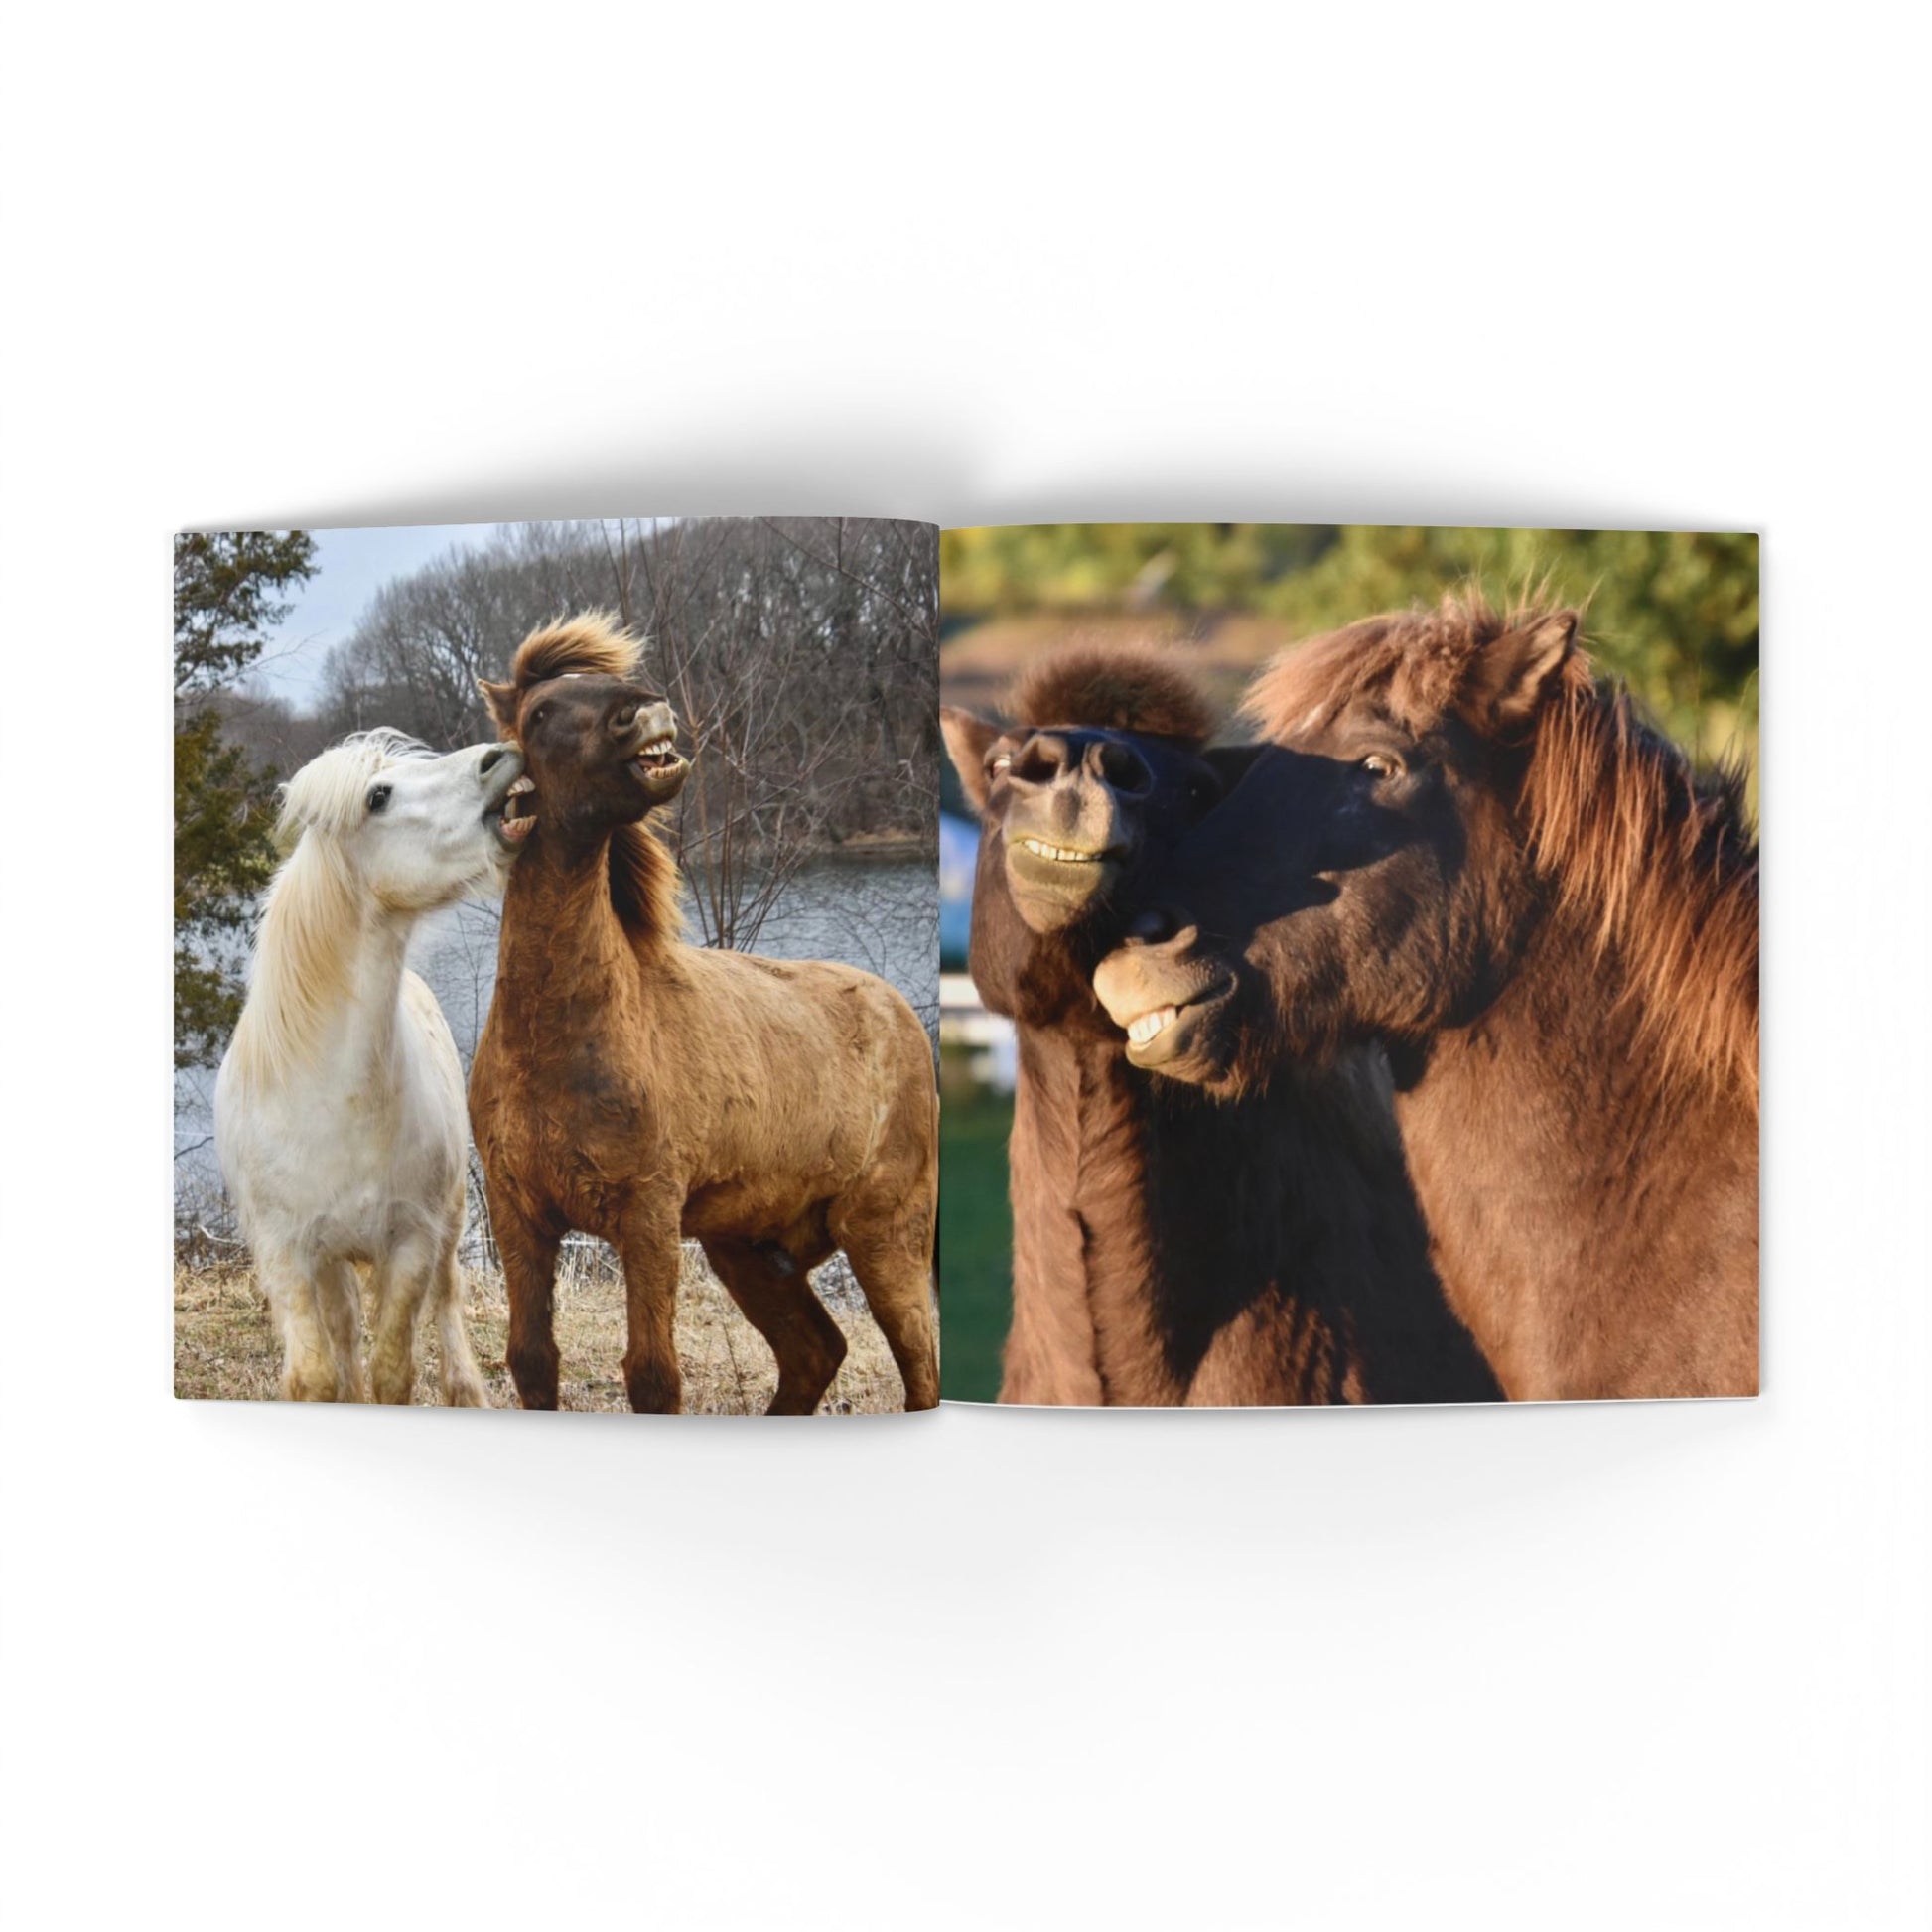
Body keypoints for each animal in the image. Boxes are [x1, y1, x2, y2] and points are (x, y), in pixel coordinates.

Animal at [214, 729, 528, 1402]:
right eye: (378, 796)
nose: (499, 756)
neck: (331, 1100)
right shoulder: (285, 1251)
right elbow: (316, 1373)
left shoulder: (411, 1242)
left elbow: (394, 1370)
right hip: (331, 1260)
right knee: (344, 1327)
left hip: (450, 1222)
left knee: (448, 1300)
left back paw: (467, 1389)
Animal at [468, 613, 939, 1414]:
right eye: (539, 714)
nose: (644, 711)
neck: (558, 1041)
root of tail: (902, 1014)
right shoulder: (519, 1216)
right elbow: (532, 1358)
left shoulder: (649, 1218)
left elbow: (654, 1376)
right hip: (749, 1248)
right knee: (815, 1352)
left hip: (885, 1235)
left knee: (919, 1365)